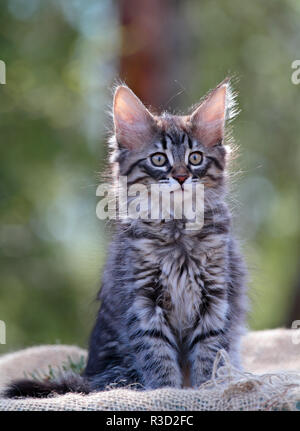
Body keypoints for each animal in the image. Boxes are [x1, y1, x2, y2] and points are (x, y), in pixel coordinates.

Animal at [5, 78, 248, 398]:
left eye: (195, 158)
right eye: (159, 159)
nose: (182, 177)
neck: (177, 230)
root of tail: (90, 376)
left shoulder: (216, 296)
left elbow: (210, 354)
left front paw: (207, 391)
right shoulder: (143, 302)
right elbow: (158, 359)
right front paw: (167, 393)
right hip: (120, 367)